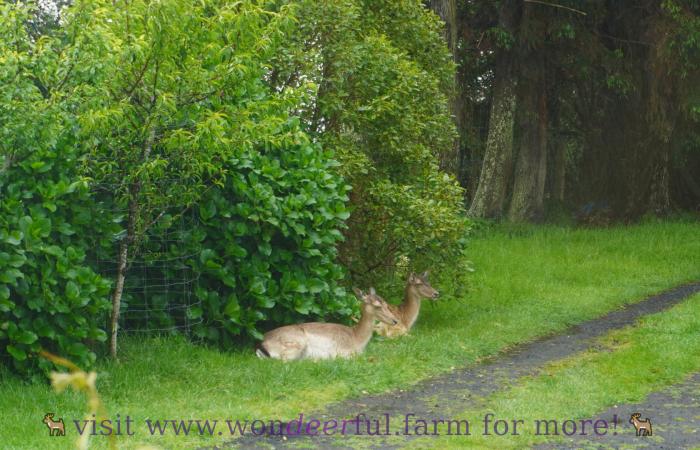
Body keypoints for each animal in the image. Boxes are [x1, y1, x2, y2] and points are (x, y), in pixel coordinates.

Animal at [255, 287, 399, 361]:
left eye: (386, 303)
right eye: (377, 306)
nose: (395, 321)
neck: (356, 338)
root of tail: (261, 344)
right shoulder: (344, 351)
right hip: (296, 343)